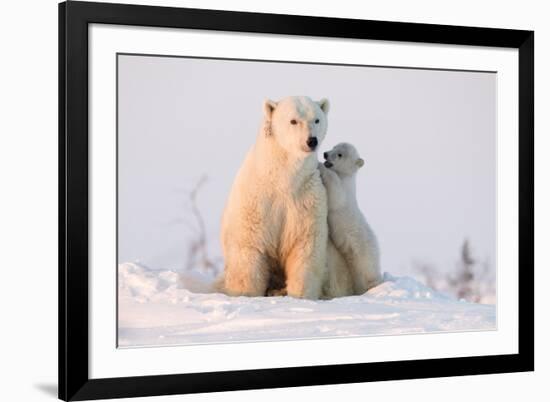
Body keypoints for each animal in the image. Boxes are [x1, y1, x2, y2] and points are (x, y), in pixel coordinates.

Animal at [220, 96, 332, 298]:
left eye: (317, 119)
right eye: (293, 120)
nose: (311, 140)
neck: (281, 179)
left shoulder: (307, 199)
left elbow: (305, 248)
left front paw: (299, 296)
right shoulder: (256, 201)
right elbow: (248, 249)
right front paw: (245, 294)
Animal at [320, 143, 384, 294]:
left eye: (340, 154)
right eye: (333, 147)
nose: (325, 154)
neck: (346, 176)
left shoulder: (344, 190)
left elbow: (336, 196)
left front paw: (320, 166)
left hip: (364, 253)